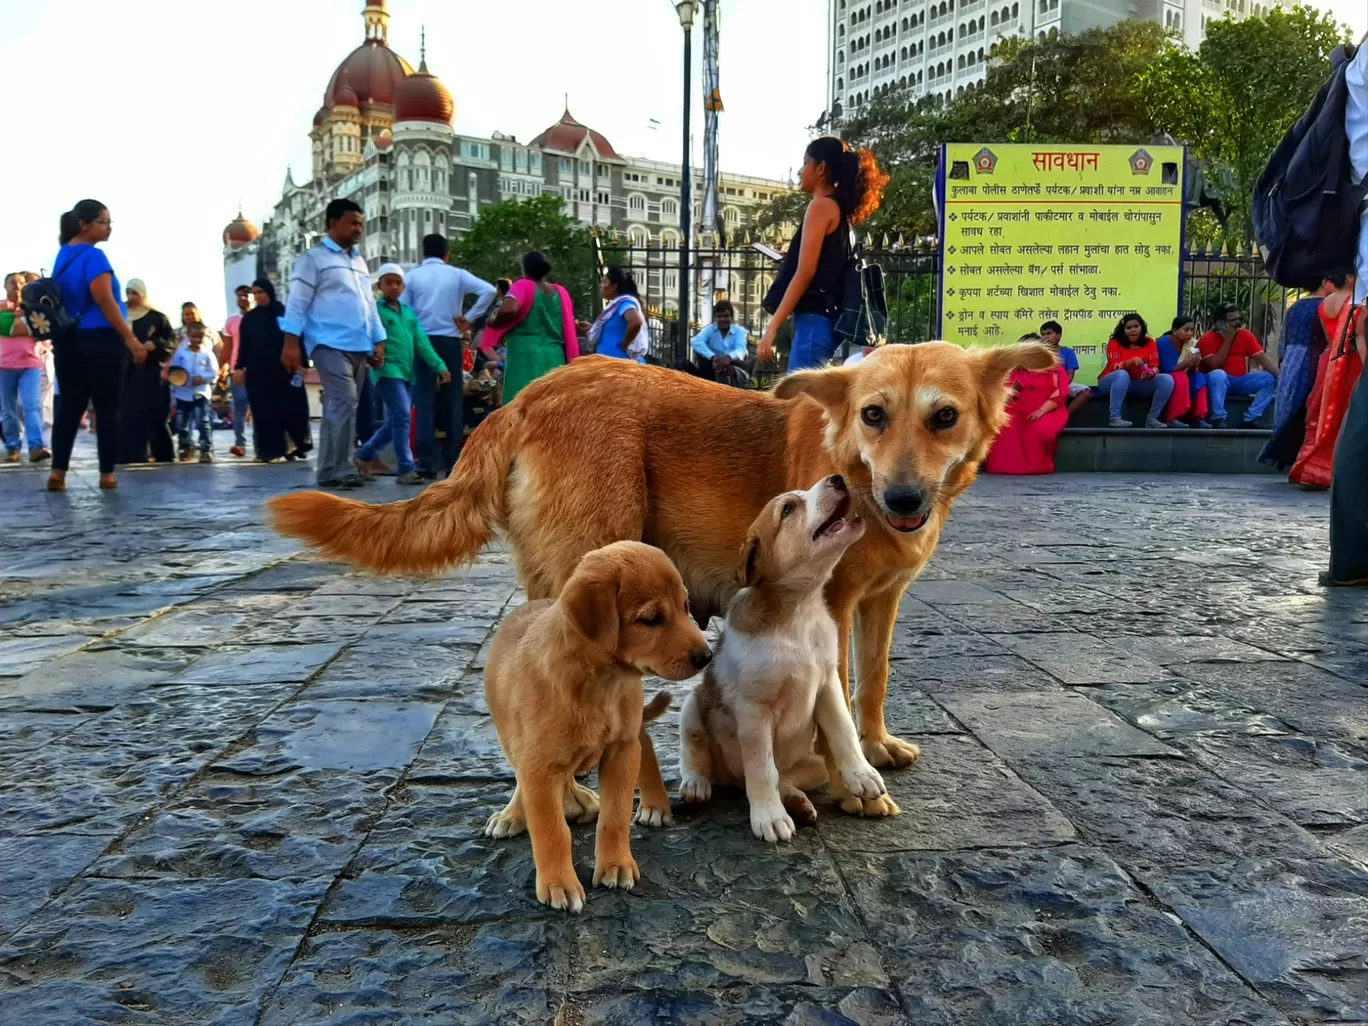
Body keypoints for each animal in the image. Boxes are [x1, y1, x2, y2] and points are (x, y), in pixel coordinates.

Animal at [481, 541, 711, 913]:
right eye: (651, 619)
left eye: (685, 606)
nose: (706, 657)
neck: (600, 684)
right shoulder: (538, 763)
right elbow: (551, 830)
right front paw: (559, 884)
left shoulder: (621, 751)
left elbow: (615, 816)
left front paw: (615, 865)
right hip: (511, 739)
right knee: (524, 780)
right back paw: (515, 814)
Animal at [681, 476, 891, 842]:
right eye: (789, 509)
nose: (837, 478)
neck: (798, 614)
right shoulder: (754, 712)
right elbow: (762, 768)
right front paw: (769, 817)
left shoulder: (828, 686)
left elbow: (844, 731)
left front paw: (861, 774)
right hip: (690, 707)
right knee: (699, 754)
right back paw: (696, 784)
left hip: (816, 764)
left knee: (786, 779)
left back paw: (798, 802)